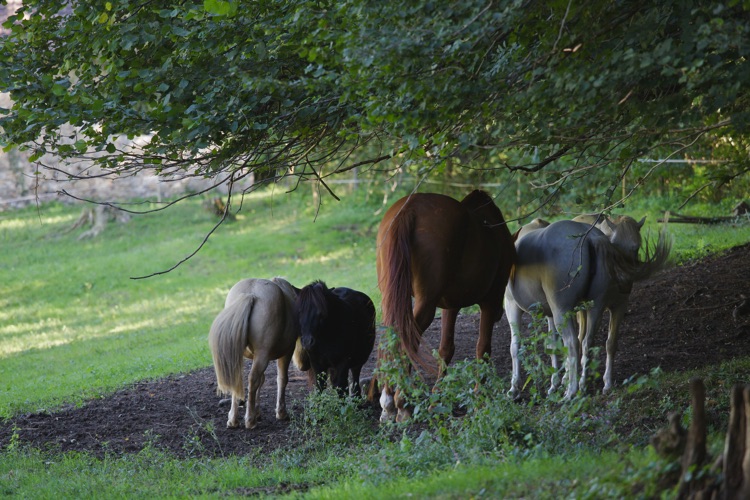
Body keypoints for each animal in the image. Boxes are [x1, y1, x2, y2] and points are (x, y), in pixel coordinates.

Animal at [208, 277, 303, 429]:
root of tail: (250, 294)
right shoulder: (286, 352)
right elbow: (282, 379)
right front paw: (281, 412)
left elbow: (262, 380)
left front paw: (257, 411)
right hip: (263, 355)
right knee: (252, 379)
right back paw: (250, 420)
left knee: (239, 380)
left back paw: (233, 420)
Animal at [374, 190, 516, 421]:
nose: (499, 313)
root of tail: (410, 208)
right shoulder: (489, 302)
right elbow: (483, 348)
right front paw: (479, 396)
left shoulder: (450, 306)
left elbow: (446, 349)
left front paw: (437, 399)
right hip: (425, 304)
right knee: (406, 340)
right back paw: (401, 403)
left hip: (393, 298)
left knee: (391, 339)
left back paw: (388, 403)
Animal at [505, 219, 670, 399]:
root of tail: (591, 237)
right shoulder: (551, 313)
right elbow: (553, 345)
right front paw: (554, 384)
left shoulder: (512, 306)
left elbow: (515, 346)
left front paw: (514, 387)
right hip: (595, 307)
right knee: (588, 342)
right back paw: (585, 385)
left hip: (563, 311)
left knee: (573, 343)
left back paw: (571, 391)